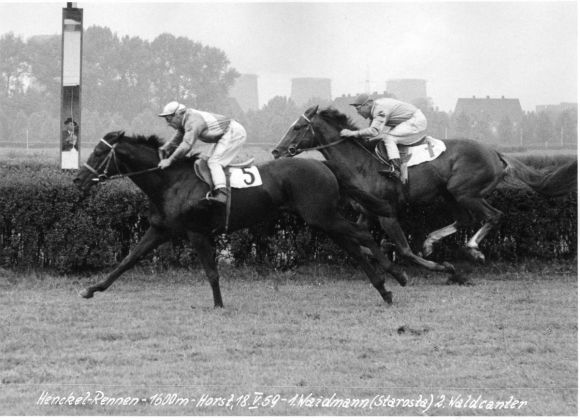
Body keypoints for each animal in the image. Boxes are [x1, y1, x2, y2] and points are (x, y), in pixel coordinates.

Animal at [73, 130, 408, 306]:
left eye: (98, 154)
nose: (77, 180)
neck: (171, 181)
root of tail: (323, 165)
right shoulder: (160, 229)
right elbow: (127, 260)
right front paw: (92, 289)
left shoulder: (196, 231)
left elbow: (211, 272)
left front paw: (219, 304)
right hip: (322, 219)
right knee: (353, 245)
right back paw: (384, 288)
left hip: (322, 216)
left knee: (361, 236)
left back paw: (398, 275)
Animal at [274, 106, 576, 268]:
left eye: (298, 127)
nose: (277, 151)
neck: (361, 162)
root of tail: (495, 152)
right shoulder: (366, 212)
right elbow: (363, 240)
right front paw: (381, 250)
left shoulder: (386, 212)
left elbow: (400, 246)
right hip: (451, 193)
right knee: (465, 218)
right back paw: (430, 243)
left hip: (464, 191)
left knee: (493, 216)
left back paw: (473, 248)